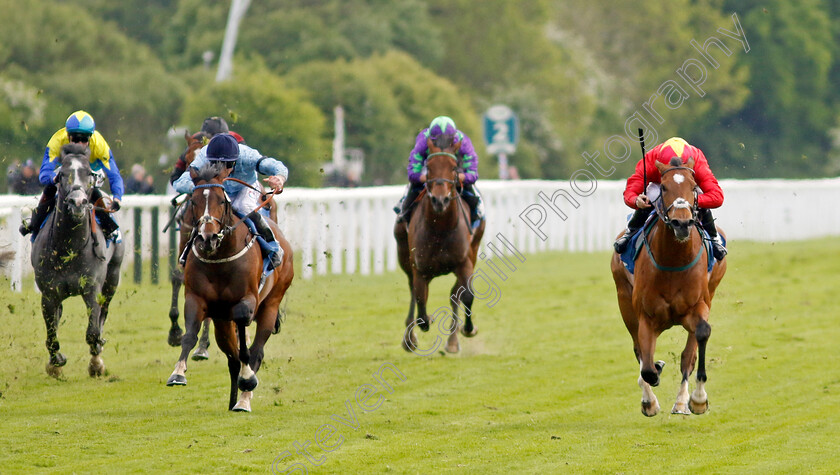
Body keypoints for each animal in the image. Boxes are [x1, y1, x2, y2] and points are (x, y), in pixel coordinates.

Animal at [31, 145, 124, 380]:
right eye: (63, 174)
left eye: (89, 174)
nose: (78, 203)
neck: (69, 247)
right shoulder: (49, 293)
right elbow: (51, 333)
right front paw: (55, 363)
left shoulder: (92, 288)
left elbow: (92, 332)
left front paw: (96, 363)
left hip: (112, 278)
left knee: (103, 313)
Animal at [166, 164, 294, 412]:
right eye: (194, 201)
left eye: (221, 200)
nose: (207, 238)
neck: (220, 257)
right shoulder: (196, 299)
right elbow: (190, 335)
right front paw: (178, 373)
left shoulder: (247, 300)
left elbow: (245, 338)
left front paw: (248, 378)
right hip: (221, 322)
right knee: (232, 358)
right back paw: (235, 399)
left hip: (271, 303)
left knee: (256, 351)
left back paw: (244, 398)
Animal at [396, 133, 486, 354]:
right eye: (429, 166)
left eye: (454, 167)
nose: (440, 200)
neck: (440, 229)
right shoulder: (420, 268)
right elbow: (420, 303)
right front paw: (424, 323)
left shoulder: (464, 263)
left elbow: (467, 296)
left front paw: (468, 329)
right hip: (404, 254)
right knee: (413, 291)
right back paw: (409, 339)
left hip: (473, 251)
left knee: (455, 294)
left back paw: (452, 342)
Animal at [612, 159, 724, 416]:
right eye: (663, 187)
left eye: (694, 186)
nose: (681, 223)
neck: (674, 261)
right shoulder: (646, 316)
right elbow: (647, 367)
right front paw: (652, 387)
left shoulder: (699, 306)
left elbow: (699, 338)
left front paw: (698, 399)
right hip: (624, 300)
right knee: (640, 353)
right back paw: (649, 399)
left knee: (688, 356)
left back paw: (682, 401)